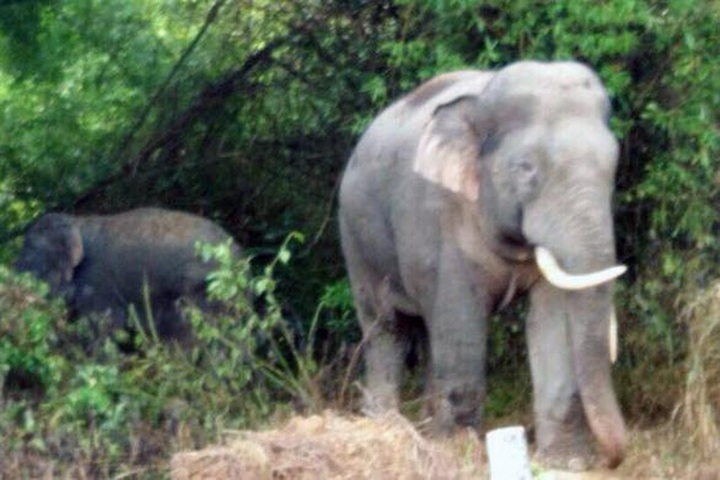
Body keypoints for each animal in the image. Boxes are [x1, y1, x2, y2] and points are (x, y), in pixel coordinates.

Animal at [338, 61, 627, 469]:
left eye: (614, 167)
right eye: (526, 168)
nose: (611, 461)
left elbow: (551, 319)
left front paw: (566, 462)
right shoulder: (439, 220)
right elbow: (461, 321)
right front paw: (460, 451)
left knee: (427, 332)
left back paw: (425, 429)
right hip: (357, 241)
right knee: (385, 329)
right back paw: (385, 425)